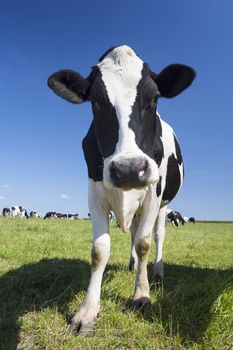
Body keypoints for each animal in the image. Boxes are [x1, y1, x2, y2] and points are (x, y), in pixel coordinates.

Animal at [48, 45, 196, 334]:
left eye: (155, 98)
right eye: (94, 102)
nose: (129, 169)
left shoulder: (153, 194)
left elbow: (144, 243)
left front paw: (141, 294)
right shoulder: (94, 191)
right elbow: (99, 250)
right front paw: (87, 311)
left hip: (165, 205)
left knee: (157, 235)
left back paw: (157, 272)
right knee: (134, 232)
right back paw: (131, 265)